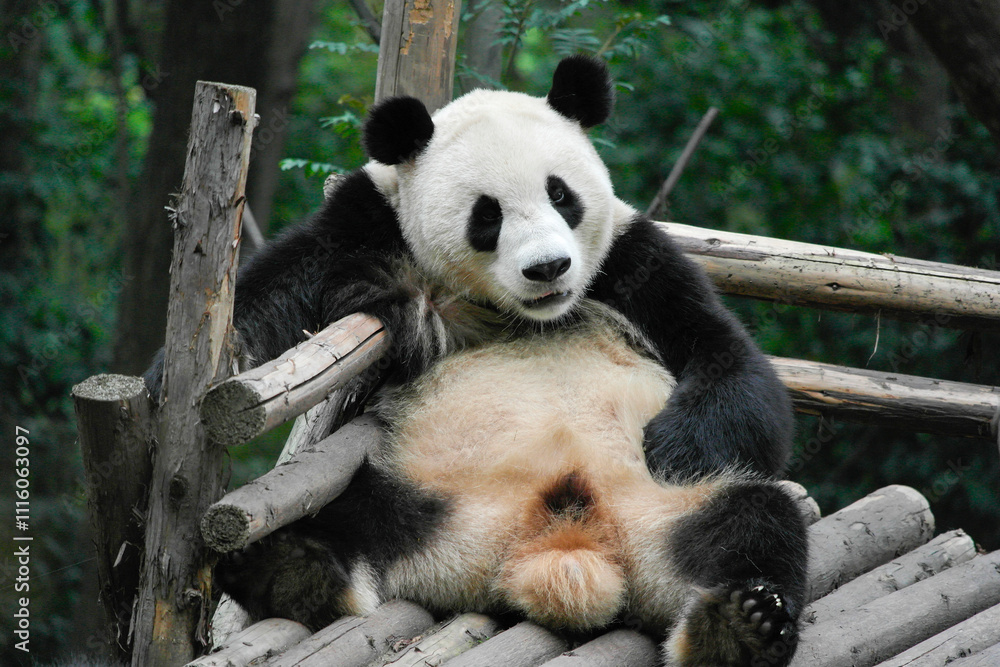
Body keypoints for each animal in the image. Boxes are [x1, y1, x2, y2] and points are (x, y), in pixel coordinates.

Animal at [146, 55, 808, 666]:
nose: (549, 268)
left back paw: (742, 626)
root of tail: (556, 553)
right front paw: (168, 385)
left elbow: (732, 366)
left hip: (662, 513)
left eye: (560, 194)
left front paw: (676, 445)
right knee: (345, 513)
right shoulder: (371, 227)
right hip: (426, 495)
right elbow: (276, 290)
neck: (525, 315)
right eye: (487, 215)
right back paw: (288, 566)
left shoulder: (633, 261)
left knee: (755, 521)